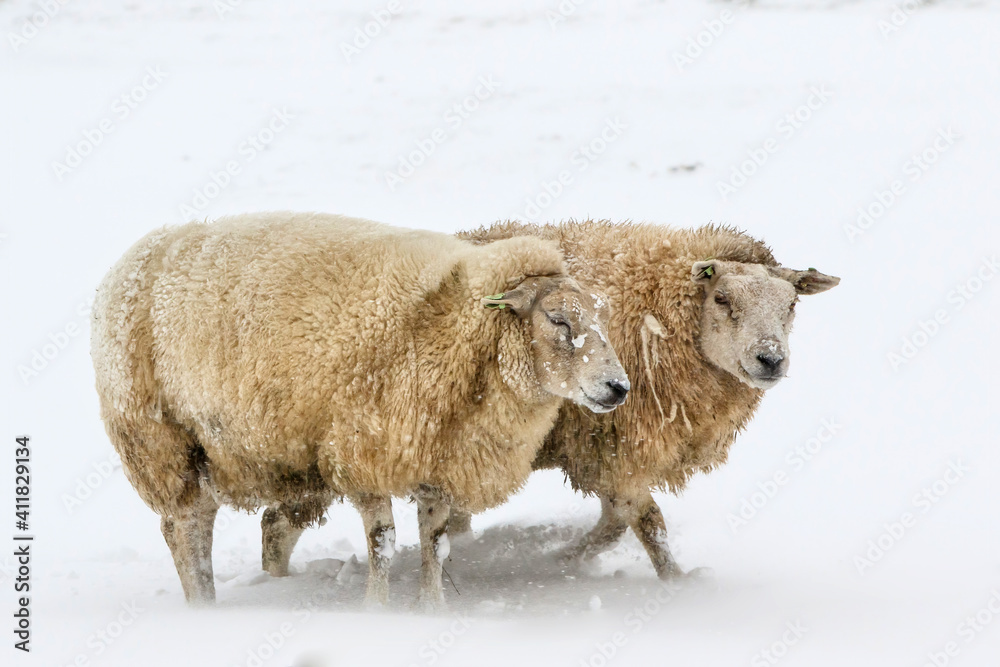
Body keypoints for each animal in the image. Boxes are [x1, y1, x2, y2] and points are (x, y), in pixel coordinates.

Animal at [90, 212, 629, 607]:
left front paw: (432, 607)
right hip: (161, 441)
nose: (618, 387)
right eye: (558, 320)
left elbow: (435, 542)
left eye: (602, 318)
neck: (451, 324)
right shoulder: (362, 452)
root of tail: (128, 262)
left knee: (206, 525)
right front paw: (376, 611)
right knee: (186, 531)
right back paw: (202, 605)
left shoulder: (434, 459)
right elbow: (383, 543)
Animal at [261, 219, 839, 580]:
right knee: (277, 524)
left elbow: (614, 524)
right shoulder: (613, 446)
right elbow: (645, 521)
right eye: (721, 298)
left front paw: (566, 559)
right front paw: (676, 580)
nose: (770, 360)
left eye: (791, 305)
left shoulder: (605, 448)